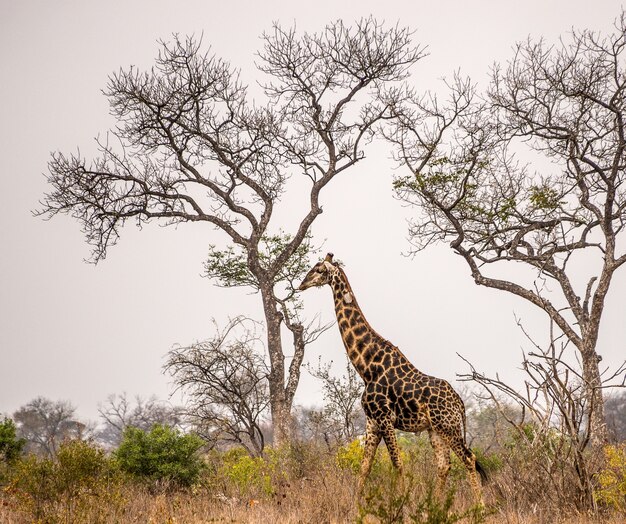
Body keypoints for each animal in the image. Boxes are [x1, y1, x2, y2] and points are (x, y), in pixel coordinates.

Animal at [296, 254, 482, 504]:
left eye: (317, 269)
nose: (301, 284)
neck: (366, 367)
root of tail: (459, 403)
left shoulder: (384, 418)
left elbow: (397, 463)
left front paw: (403, 503)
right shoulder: (372, 422)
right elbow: (365, 467)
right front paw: (356, 505)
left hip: (448, 426)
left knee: (469, 459)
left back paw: (480, 506)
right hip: (435, 429)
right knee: (444, 465)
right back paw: (435, 505)